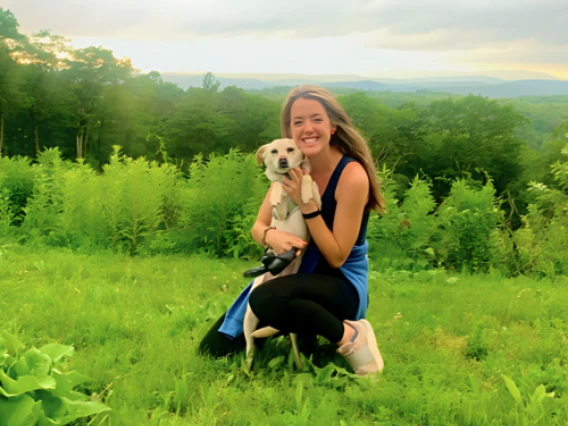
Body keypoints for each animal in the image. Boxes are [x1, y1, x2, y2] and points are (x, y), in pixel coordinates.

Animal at [244, 138, 324, 372]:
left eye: (290, 149)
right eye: (273, 151)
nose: (282, 160)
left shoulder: (318, 203)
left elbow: (307, 178)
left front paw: (304, 191)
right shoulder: (278, 213)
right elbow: (277, 186)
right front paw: (278, 191)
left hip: (292, 323)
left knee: (294, 342)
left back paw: (299, 366)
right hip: (249, 317)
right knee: (249, 345)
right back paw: (248, 368)